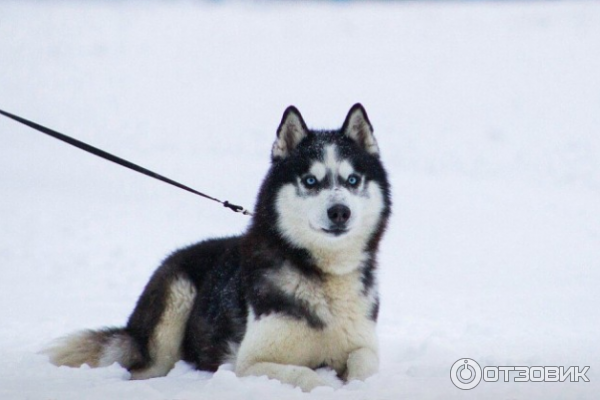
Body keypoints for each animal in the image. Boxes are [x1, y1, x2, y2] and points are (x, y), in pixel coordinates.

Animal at [42, 103, 392, 390]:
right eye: (309, 181)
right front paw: (327, 384)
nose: (340, 212)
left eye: (352, 180)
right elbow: (304, 374)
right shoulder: (250, 363)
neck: (322, 274)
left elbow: (364, 362)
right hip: (175, 303)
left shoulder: (362, 343)